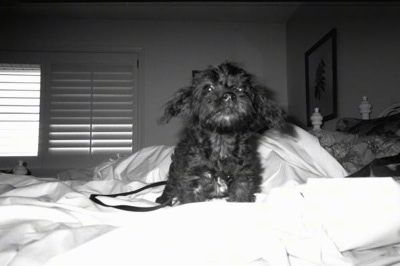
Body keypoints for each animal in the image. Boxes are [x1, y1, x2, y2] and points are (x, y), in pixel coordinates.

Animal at [155, 62, 290, 206]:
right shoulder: (192, 182)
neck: (222, 141)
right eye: (209, 88)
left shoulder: (242, 179)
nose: (229, 95)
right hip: (176, 169)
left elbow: (240, 197)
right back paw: (163, 200)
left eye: (241, 88)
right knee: (170, 185)